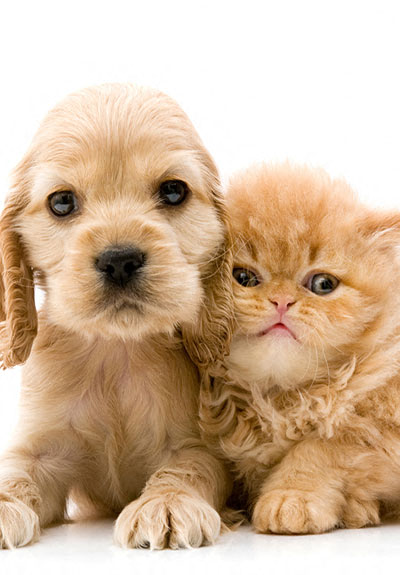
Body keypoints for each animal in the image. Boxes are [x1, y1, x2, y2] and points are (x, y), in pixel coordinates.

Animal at [0, 83, 233, 549]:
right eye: (62, 201)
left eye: (174, 191)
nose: (120, 260)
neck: (115, 350)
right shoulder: (41, 448)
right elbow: (14, 471)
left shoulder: (198, 444)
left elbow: (189, 468)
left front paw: (166, 503)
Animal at [200, 162, 400, 534]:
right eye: (243, 277)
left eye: (322, 284)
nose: (281, 301)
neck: (279, 401)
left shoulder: (382, 433)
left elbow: (321, 448)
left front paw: (291, 498)